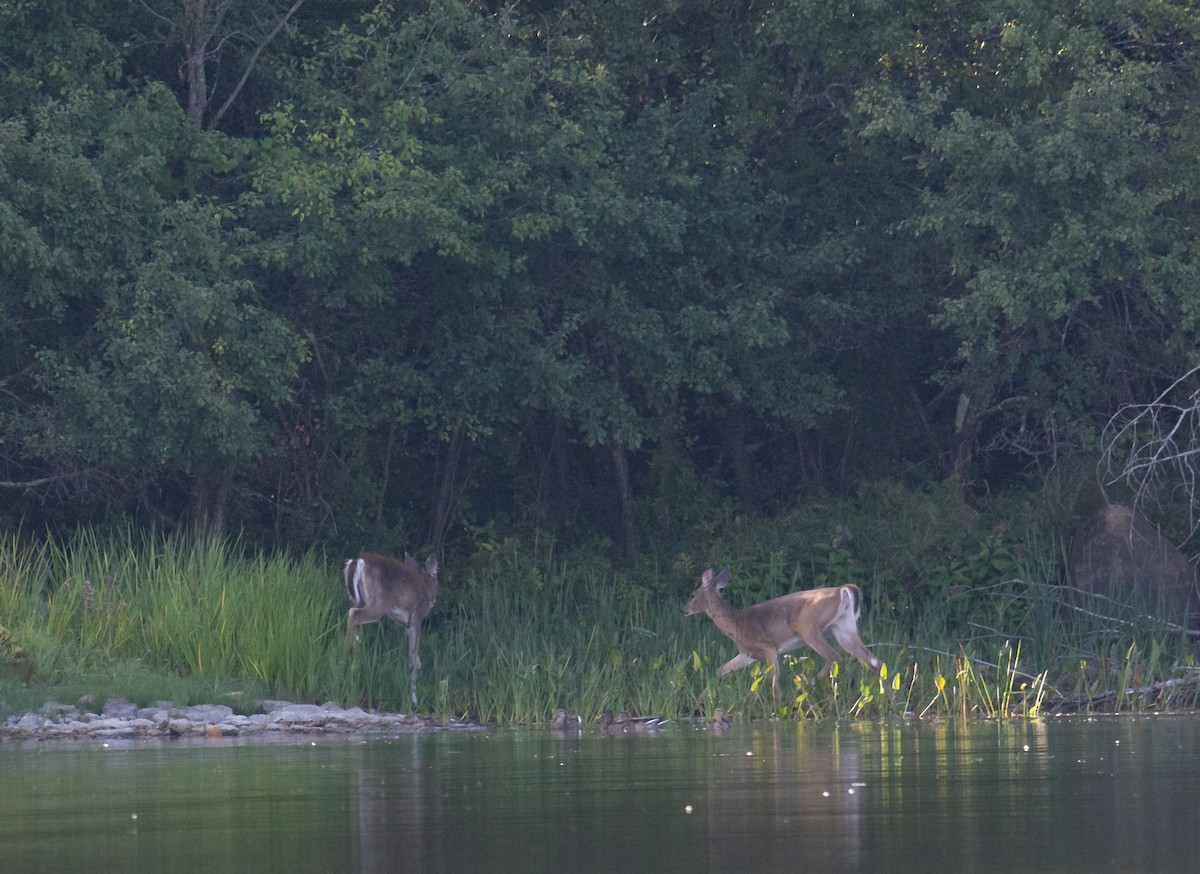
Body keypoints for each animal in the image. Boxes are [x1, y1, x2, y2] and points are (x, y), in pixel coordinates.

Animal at [344, 551, 439, 709]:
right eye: (436, 577)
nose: (433, 601)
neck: (425, 585)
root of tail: (357, 561)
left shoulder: (401, 624)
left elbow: (404, 655)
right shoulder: (416, 618)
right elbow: (415, 660)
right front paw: (414, 702)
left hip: (359, 600)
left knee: (355, 621)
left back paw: (354, 662)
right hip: (378, 604)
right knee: (353, 615)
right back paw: (349, 656)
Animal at [683, 566, 882, 705]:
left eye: (692, 595)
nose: (683, 609)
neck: (736, 624)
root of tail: (841, 590)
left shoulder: (767, 646)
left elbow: (774, 679)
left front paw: (778, 706)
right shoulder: (748, 654)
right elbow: (720, 670)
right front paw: (698, 702)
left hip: (810, 630)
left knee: (833, 656)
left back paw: (806, 685)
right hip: (844, 628)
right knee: (875, 662)